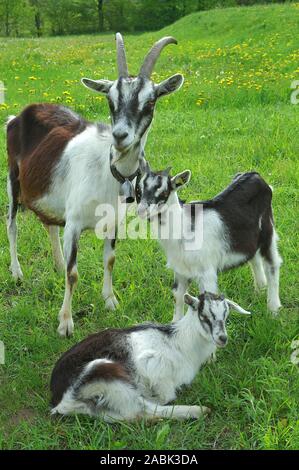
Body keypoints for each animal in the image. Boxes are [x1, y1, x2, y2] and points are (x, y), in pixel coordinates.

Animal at [5, 33, 184, 336]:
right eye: (110, 101)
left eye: (150, 103)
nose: (120, 136)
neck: (108, 171)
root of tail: (18, 115)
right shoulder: (75, 223)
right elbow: (73, 273)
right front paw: (65, 322)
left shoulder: (113, 222)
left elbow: (109, 260)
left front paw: (110, 300)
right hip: (12, 180)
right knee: (12, 223)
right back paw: (17, 272)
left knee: (49, 225)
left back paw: (55, 264)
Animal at [51, 292, 251, 420]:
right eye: (204, 315)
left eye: (226, 315)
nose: (222, 338)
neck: (179, 342)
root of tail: (60, 402)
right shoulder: (153, 366)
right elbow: (166, 396)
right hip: (107, 375)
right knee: (143, 409)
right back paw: (199, 410)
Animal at [137, 163, 282, 322]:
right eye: (138, 190)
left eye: (164, 191)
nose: (142, 211)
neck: (184, 227)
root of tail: (256, 175)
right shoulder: (180, 269)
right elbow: (178, 295)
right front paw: (175, 323)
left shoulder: (206, 272)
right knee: (253, 256)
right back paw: (260, 289)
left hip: (267, 229)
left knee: (272, 264)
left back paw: (273, 309)